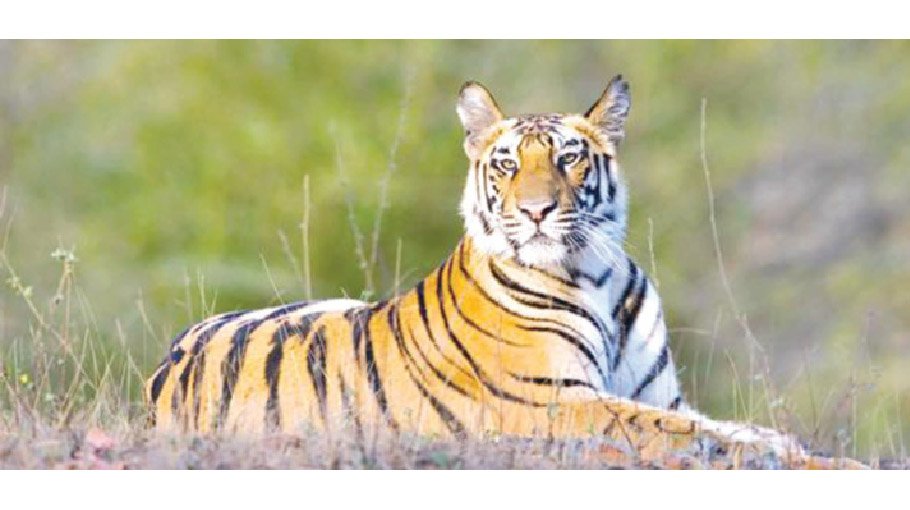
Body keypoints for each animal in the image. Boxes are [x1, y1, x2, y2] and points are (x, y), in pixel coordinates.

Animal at [145, 76, 864, 469]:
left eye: (570, 158)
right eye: (507, 163)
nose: (537, 210)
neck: (596, 276)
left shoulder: (658, 393)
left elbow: (716, 424)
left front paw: (791, 444)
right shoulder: (557, 401)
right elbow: (687, 433)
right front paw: (796, 455)